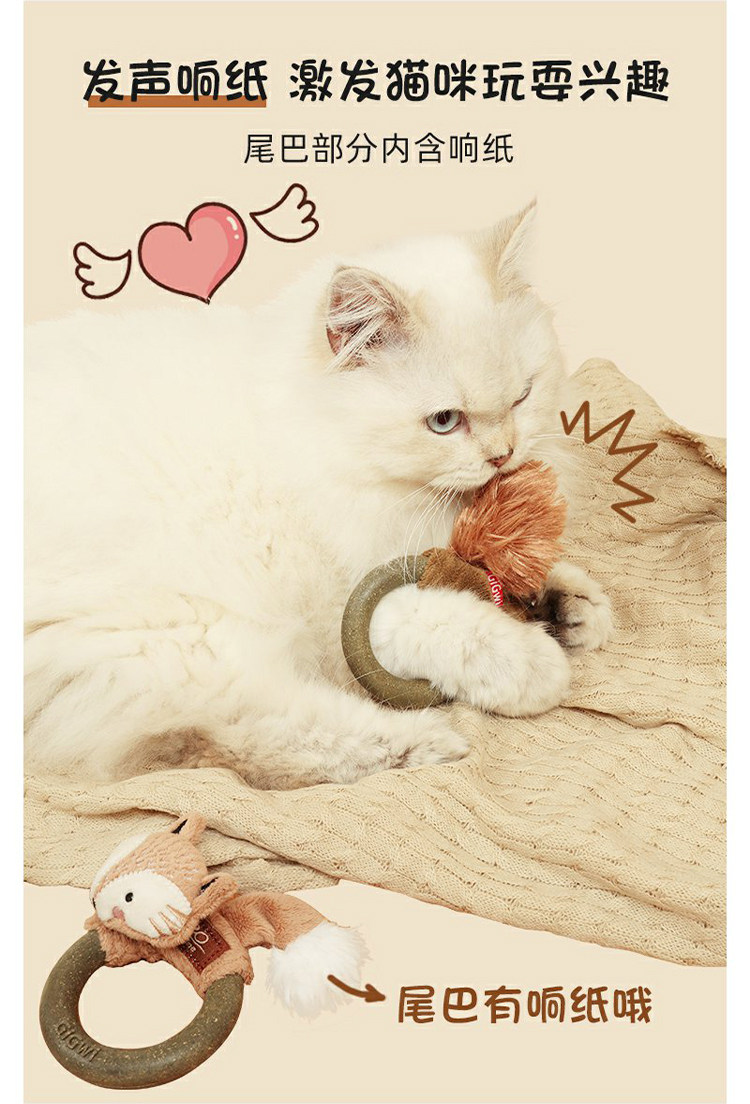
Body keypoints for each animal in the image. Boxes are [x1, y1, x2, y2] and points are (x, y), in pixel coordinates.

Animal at [25, 203, 613, 790]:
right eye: (445, 421)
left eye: (523, 397)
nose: (502, 455)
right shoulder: (345, 602)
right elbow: (452, 624)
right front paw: (538, 662)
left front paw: (571, 605)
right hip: (182, 632)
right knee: (252, 739)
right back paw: (429, 741)